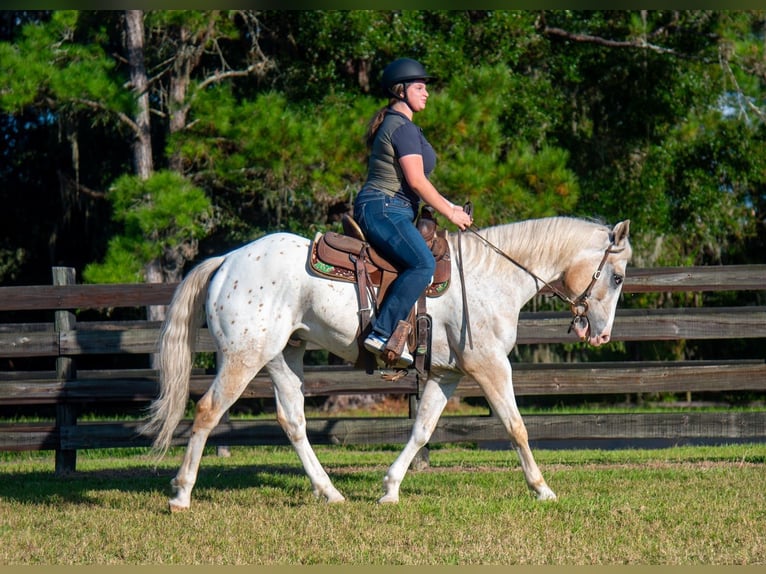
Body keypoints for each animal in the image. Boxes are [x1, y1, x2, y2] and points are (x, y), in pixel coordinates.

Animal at [141, 216, 631, 511]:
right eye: (618, 276)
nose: (601, 334)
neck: (493, 276)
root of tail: (227, 260)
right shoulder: (490, 366)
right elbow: (516, 427)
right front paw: (542, 489)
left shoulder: (447, 375)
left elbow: (422, 430)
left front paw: (391, 488)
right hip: (243, 357)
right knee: (207, 412)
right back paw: (181, 495)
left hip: (283, 356)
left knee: (293, 421)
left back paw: (330, 492)